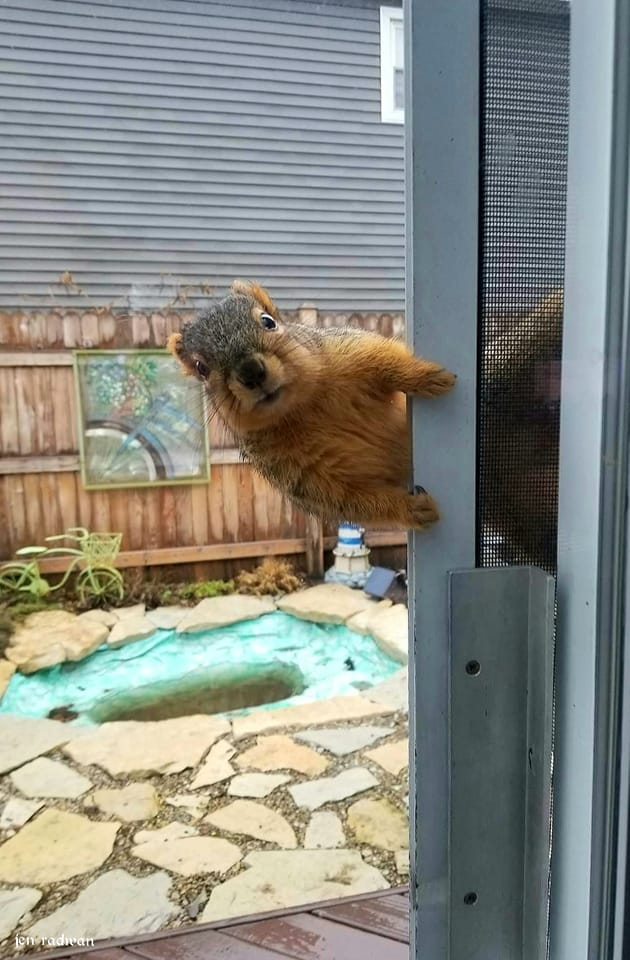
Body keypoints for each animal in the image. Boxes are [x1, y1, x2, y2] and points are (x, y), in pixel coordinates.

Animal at [167, 279, 456, 530]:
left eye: (268, 321)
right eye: (201, 368)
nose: (251, 371)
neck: (306, 407)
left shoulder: (350, 350)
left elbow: (386, 359)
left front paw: (425, 376)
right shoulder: (304, 479)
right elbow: (357, 503)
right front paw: (413, 509)